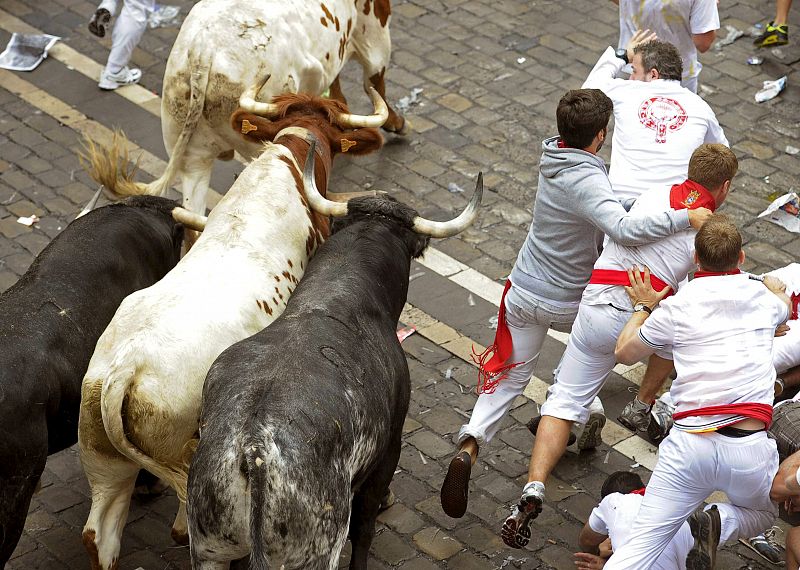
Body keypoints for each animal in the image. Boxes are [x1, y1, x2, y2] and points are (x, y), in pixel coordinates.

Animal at [189, 144, 482, 564]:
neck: (339, 293)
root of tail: (253, 449)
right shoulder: (390, 446)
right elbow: (365, 526)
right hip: (315, 550)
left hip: (209, 548)